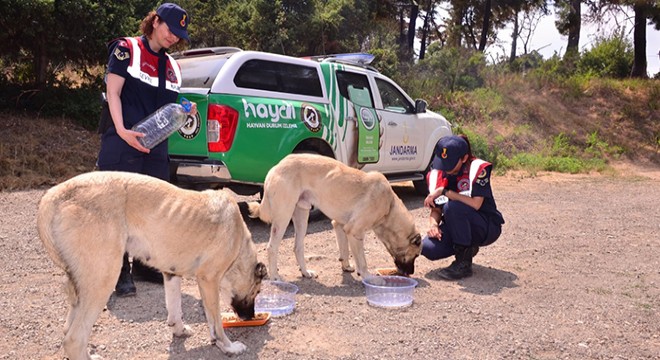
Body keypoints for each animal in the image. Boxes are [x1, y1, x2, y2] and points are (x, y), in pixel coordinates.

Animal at [36, 170, 266, 358]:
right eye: (256, 292)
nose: (249, 317)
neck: (238, 240)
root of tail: (55, 194)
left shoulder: (171, 274)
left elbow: (175, 307)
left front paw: (178, 329)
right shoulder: (208, 281)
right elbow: (215, 322)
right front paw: (227, 346)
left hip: (82, 288)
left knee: (69, 331)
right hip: (102, 280)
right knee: (74, 339)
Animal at [245, 153, 420, 280]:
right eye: (416, 255)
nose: (411, 273)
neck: (389, 206)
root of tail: (276, 167)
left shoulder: (339, 225)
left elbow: (345, 250)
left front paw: (346, 265)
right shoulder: (354, 231)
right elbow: (362, 261)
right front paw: (368, 276)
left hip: (301, 216)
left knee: (297, 247)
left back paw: (305, 272)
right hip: (283, 217)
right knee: (272, 247)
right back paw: (275, 276)